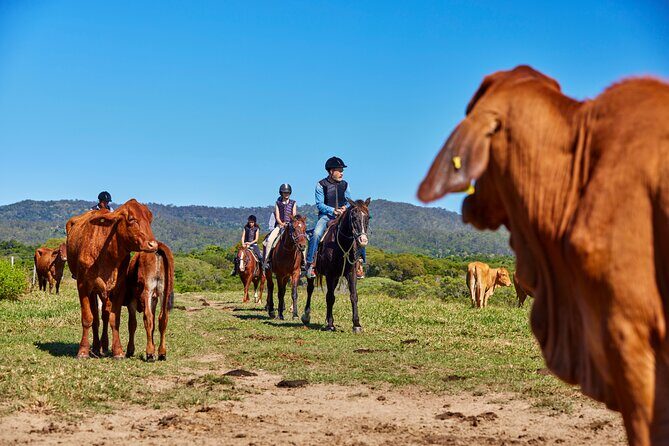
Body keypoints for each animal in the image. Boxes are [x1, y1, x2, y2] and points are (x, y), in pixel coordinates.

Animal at [302, 198, 370, 332]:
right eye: (354, 217)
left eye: (368, 217)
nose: (363, 240)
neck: (342, 244)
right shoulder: (330, 274)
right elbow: (330, 297)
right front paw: (330, 324)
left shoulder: (350, 273)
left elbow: (353, 296)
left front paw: (356, 324)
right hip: (312, 273)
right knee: (310, 290)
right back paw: (306, 316)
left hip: (337, 277)